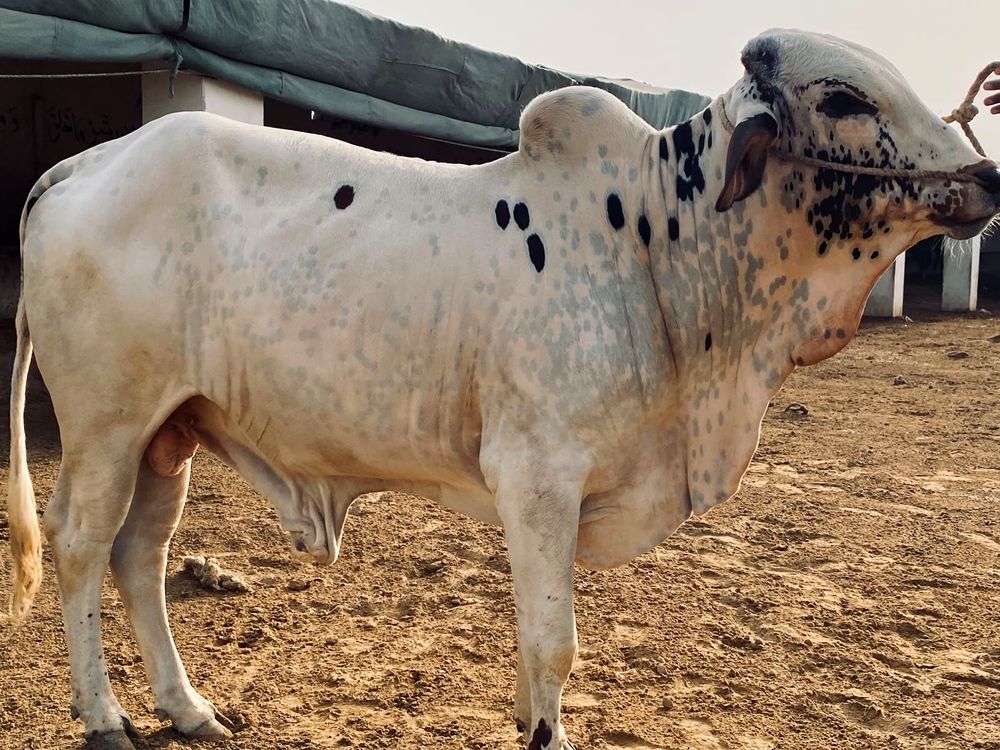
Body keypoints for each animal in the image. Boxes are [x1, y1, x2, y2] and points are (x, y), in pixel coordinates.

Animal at [5, 28, 1000, 750]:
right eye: (844, 96)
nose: (984, 174)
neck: (658, 248)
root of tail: (83, 166)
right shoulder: (539, 476)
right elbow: (552, 642)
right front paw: (543, 734)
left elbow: (533, 638)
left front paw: (530, 719)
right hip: (107, 426)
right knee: (82, 546)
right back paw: (105, 718)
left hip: (169, 431)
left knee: (141, 556)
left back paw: (188, 708)